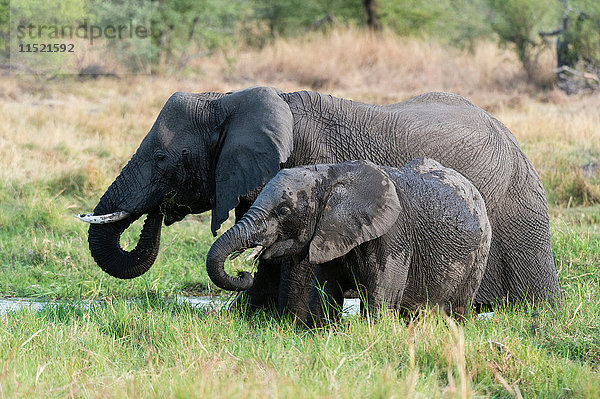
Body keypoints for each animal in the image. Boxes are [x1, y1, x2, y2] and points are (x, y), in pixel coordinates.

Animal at [209, 158, 490, 324]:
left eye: (284, 211)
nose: (244, 273)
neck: (333, 174)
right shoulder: (329, 234)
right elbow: (324, 293)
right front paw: (319, 332)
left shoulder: (394, 235)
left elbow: (382, 299)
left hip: (480, 251)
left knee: (457, 308)